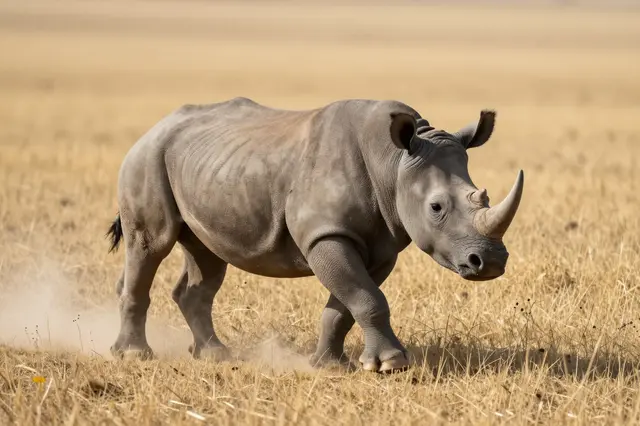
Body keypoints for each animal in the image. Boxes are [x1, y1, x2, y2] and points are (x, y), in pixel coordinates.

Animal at [106, 97, 524, 373]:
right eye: (436, 208)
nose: (489, 262)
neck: (393, 162)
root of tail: (153, 128)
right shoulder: (325, 234)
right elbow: (367, 297)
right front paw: (392, 365)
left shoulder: (379, 245)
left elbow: (346, 304)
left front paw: (329, 366)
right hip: (146, 159)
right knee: (150, 245)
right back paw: (134, 356)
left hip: (204, 168)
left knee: (206, 256)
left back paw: (215, 355)